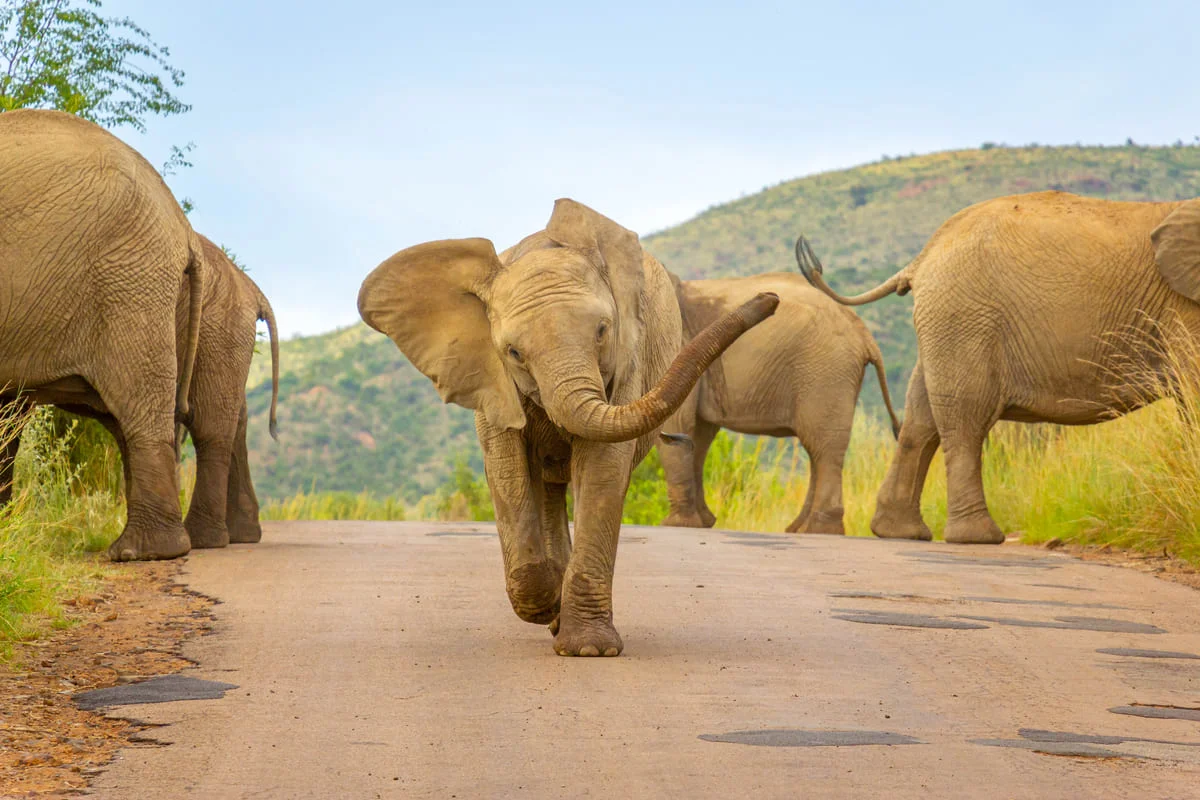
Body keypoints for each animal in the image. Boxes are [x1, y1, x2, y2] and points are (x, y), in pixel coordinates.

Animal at [355, 200, 782, 657]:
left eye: (602, 331)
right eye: (513, 352)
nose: (770, 299)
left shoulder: (627, 362)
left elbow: (601, 467)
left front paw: (589, 649)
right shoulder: (488, 378)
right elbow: (507, 471)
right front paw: (546, 607)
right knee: (545, 487)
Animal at [657, 272, 902, 534]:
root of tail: (865, 334)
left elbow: (678, 423)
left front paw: (677, 525)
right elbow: (700, 433)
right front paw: (704, 523)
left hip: (826, 372)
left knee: (823, 445)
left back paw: (817, 530)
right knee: (817, 447)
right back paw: (798, 529)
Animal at [796, 190, 1200, 546]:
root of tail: (922, 257)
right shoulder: (1183, 307)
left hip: (947, 324)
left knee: (921, 419)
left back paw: (900, 532)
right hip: (966, 318)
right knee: (967, 418)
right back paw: (977, 537)